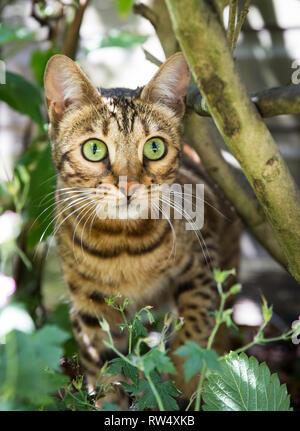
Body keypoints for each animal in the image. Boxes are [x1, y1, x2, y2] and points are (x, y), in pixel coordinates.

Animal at [44, 52, 241, 410]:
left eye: (154, 148)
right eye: (94, 149)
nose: (129, 186)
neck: (123, 244)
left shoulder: (202, 263)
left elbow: (196, 324)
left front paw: (186, 380)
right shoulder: (90, 304)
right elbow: (106, 366)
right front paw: (112, 400)